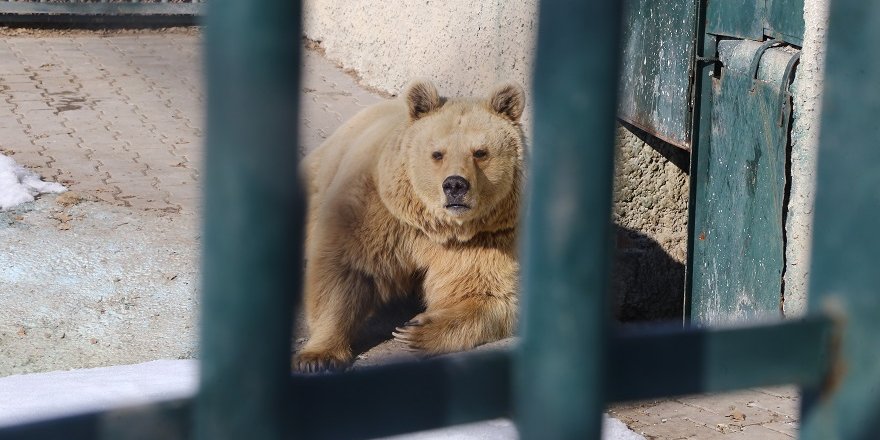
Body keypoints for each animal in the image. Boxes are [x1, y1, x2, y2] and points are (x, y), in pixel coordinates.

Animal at [296, 78, 528, 372]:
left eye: (480, 152)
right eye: (437, 153)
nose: (455, 185)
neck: (436, 226)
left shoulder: (486, 238)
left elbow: (483, 291)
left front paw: (415, 329)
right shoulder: (379, 213)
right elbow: (344, 269)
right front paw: (318, 356)